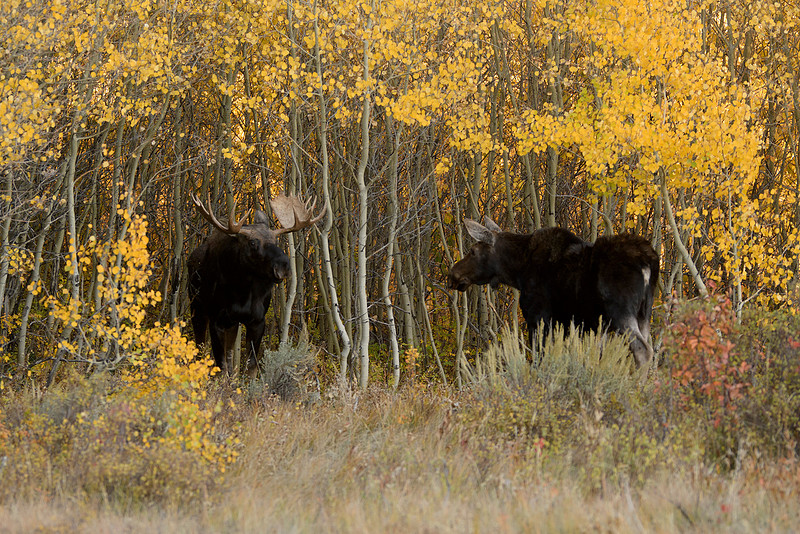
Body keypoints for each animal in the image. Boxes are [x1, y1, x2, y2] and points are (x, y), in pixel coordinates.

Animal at [187, 192, 325, 374]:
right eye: (252, 242)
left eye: (276, 239)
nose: (283, 266)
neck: (241, 292)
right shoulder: (216, 319)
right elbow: (221, 366)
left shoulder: (257, 321)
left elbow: (251, 365)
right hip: (197, 309)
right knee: (199, 347)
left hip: (232, 323)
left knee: (230, 351)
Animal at [447, 218, 659, 367]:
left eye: (473, 251)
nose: (453, 274)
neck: (518, 272)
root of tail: (648, 261)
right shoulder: (567, 323)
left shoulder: (538, 316)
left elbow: (539, 357)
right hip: (644, 313)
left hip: (621, 311)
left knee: (643, 351)